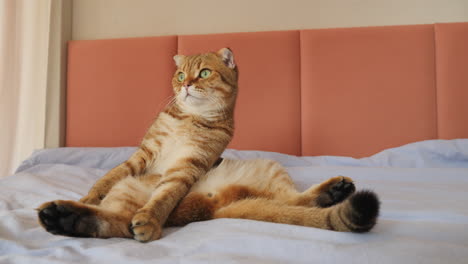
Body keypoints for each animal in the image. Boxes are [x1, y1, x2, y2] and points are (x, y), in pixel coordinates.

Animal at [37, 48, 380, 243]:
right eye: (179, 75)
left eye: (203, 72)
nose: (186, 84)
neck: (190, 117)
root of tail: (214, 208)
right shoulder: (143, 154)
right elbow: (106, 179)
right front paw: (88, 196)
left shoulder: (189, 163)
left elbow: (164, 195)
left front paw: (150, 219)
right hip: (132, 187)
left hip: (269, 168)